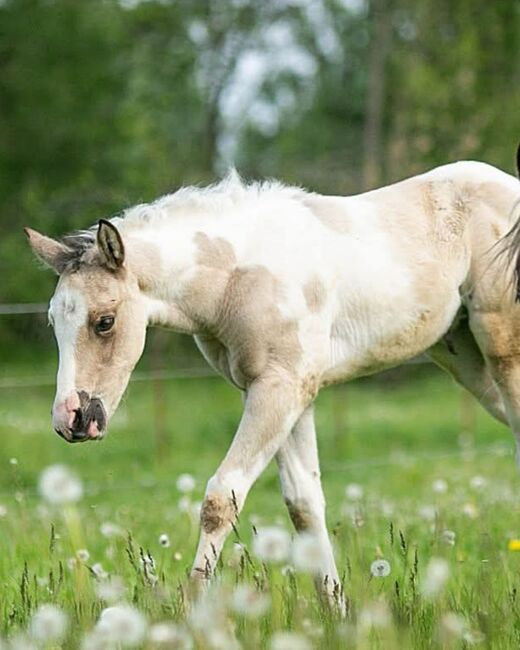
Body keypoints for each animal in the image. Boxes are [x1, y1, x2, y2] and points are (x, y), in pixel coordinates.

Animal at [25, 148, 520, 610]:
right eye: (53, 322)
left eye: (104, 322)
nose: (71, 418)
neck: (237, 275)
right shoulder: (283, 394)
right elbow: (304, 504)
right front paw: (336, 614)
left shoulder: (280, 389)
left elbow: (221, 498)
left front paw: (192, 614)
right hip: (466, 359)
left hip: (501, 349)